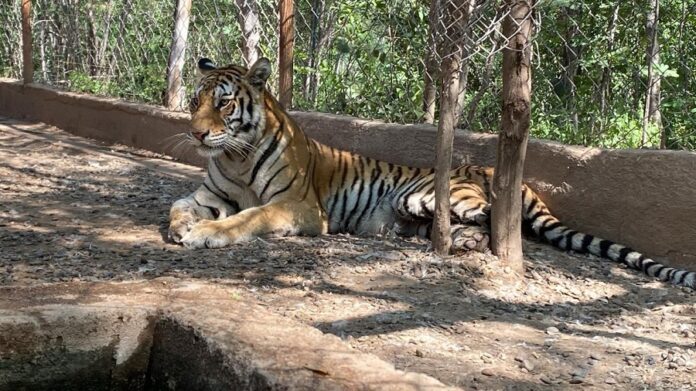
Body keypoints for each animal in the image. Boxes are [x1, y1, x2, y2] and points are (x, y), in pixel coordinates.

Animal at [169, 56, 696, 290]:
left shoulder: (298, 206)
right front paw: (181, 225)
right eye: (195, 102)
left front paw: (205, 234)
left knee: (497, 223)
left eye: (224, 104)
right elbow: (180, 203)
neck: (235, 156)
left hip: (425, 194)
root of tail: (498, 168)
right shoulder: (212, 191)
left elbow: (249, 217)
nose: (195, 134)